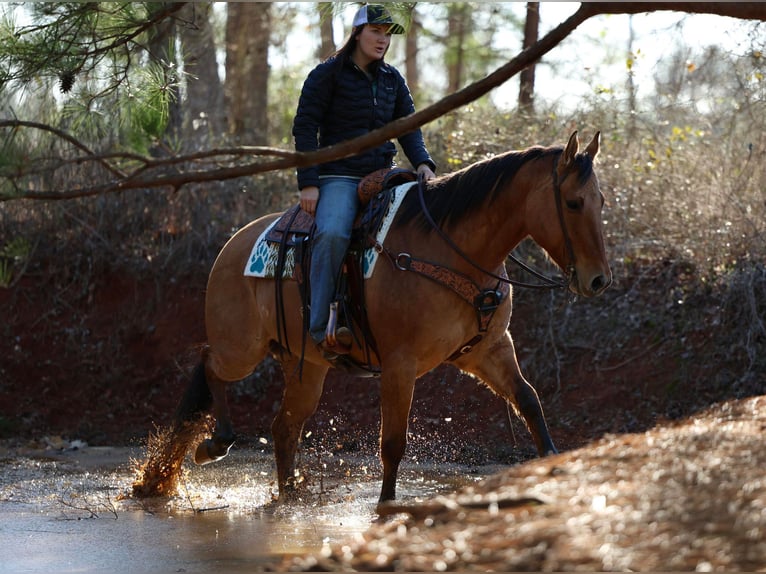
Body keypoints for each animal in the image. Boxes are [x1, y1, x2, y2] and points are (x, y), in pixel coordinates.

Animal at [132, 132, 612, 508]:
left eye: (601, 201)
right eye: (573, 202)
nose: (598, 280)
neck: (451, 246)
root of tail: (232, 246)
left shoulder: (489, 351)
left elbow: (529, 401)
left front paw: (553, 464)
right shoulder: (400, 364)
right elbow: (393, 441)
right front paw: (385, 505)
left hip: (306, 368)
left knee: (283, 427)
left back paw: (287, 494)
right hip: (240, 349)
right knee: (209, 365)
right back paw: (216, 443)